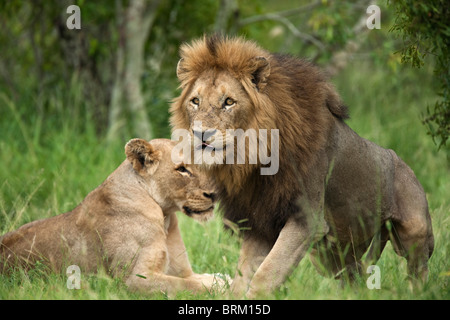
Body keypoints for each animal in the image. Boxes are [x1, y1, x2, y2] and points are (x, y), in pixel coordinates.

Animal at [0, 138, 225, 296]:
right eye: (182, 169)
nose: (215, 194)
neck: (165, 217)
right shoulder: (133, 280)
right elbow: (185, 285)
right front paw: (223, 289)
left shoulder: (183, 271)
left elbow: (203, 278)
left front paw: (222, 280)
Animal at [171, 35, 434, 298]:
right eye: (195, 101)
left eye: (228, 102)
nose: (201, 134)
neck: (251, 158)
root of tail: (406, 166)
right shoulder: (260, 224)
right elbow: (242, 277)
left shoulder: (307, 220)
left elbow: (266, 274)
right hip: (328, 255)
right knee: (355, 274)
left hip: (414, 231)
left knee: (417, 272)